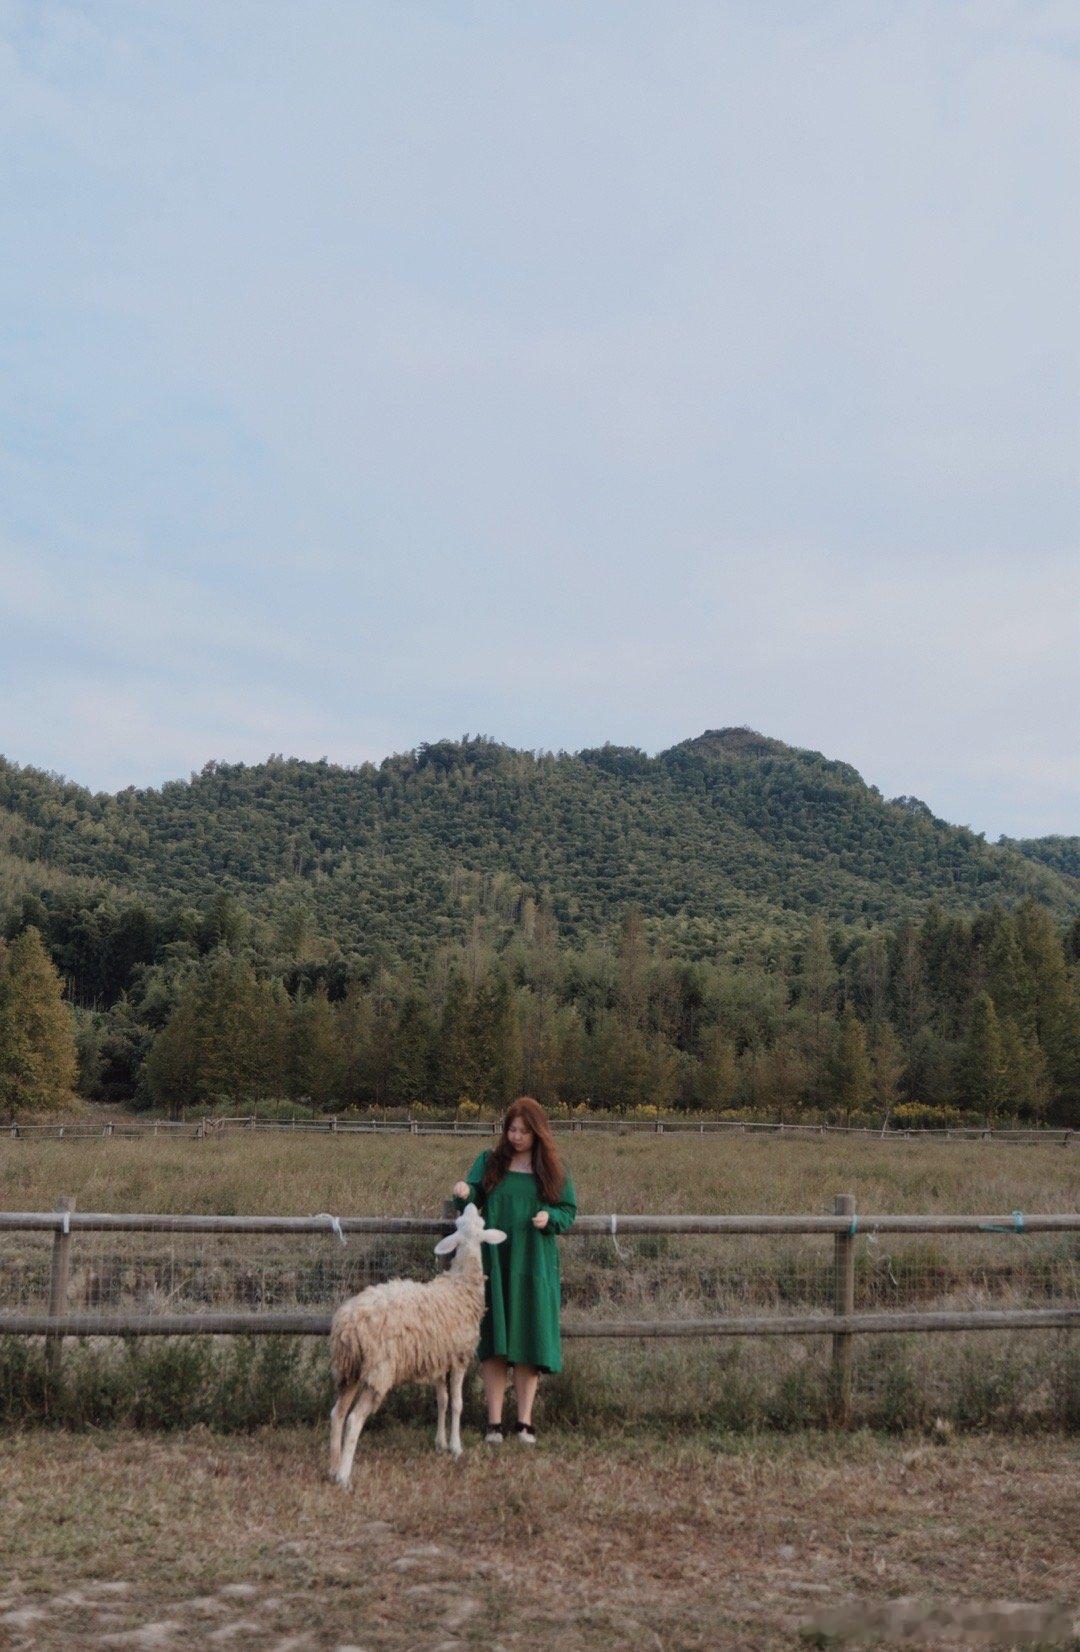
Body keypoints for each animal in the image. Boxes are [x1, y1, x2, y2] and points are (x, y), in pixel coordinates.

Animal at [328, 1202, 508, 1486]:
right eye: (474, 1222)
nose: (470, 1204)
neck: (461, 1284)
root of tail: (348, 1323)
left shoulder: (439, 1359)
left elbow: (442, 1400)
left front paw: (440, 1443)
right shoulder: (459, 1357)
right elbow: (457, 1403)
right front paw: (456, 1447)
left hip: (349, 1370)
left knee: (337, 1413)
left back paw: (333, 1468)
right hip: (379, 1370)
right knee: (354, 1419)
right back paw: (344, 1476)